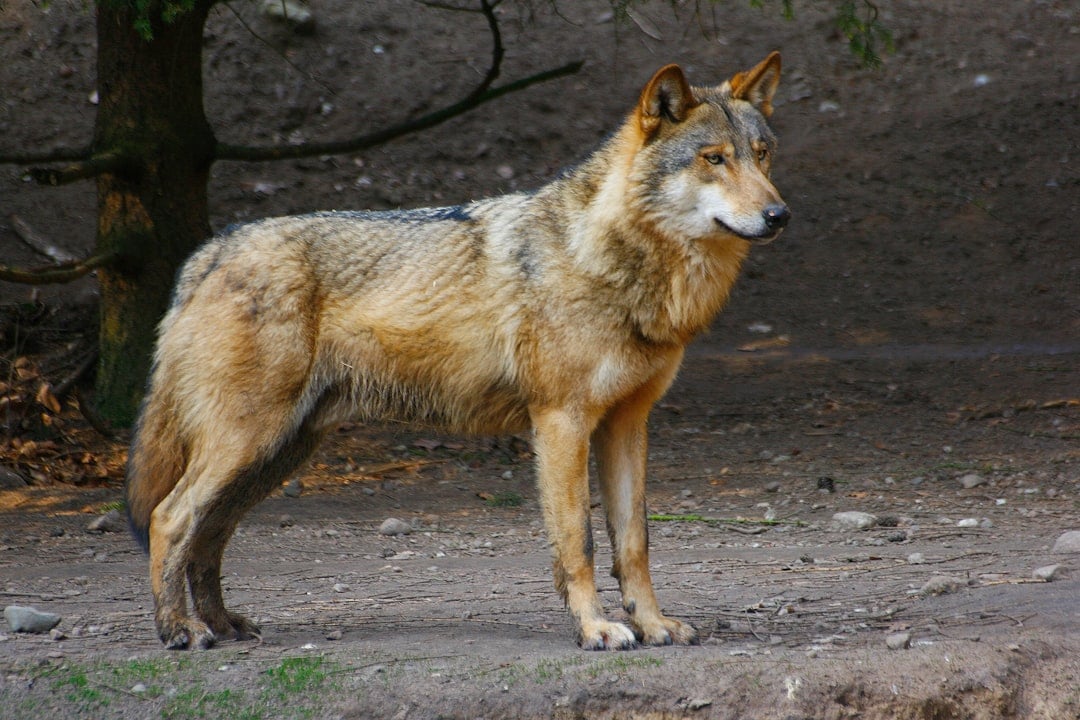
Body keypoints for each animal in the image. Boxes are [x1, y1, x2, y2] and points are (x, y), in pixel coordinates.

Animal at [126, 52, 789, 651]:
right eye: (714, 158)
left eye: (761, 154)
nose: (779, 214)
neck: (615, 262)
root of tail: (209, 251)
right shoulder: (561, 422)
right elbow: (578, 544)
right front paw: (597, 629)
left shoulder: (627, 424)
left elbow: (634, 544)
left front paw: (652, 625)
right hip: (248, 442)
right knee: (169, 518)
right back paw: (180, 630)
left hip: (275, 455)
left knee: (208, 535)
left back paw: (222, 625)